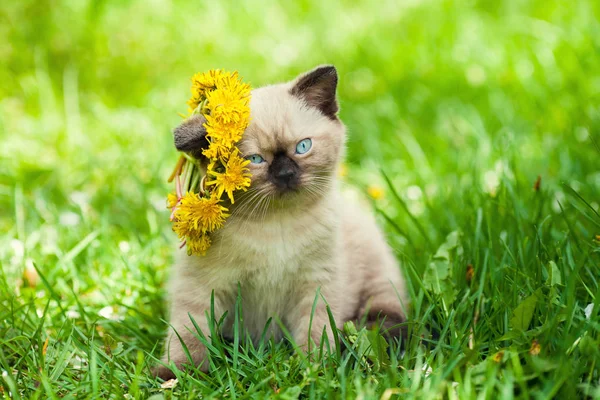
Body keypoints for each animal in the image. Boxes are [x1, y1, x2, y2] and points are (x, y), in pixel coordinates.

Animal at [155, 65, 408, 378]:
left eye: (303, 146)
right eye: (255, 159)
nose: (286, 174)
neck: (276, 223)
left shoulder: (316, 284)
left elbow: (315, 331)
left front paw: (315, 371)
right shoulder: (203, 286)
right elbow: (188, 333)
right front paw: (177, 376)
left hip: (378, 274)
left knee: (386, 314)